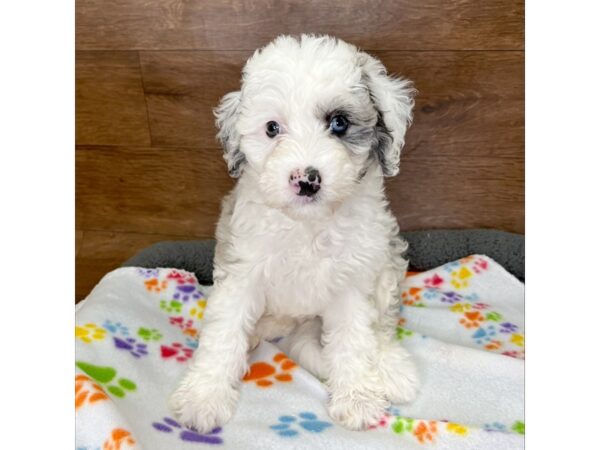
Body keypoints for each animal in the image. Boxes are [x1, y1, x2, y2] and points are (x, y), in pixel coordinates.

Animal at [169, 35, 420, 432]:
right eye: (272, 128)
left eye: (339, 123)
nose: (306, 179)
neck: (308, 224)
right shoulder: (242, 270)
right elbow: (223, 332)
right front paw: (203, 397)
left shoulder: (353, 280)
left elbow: (354, 339)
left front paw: (358, 398)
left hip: (386, 263)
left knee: (381, 327)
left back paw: (391, 370)